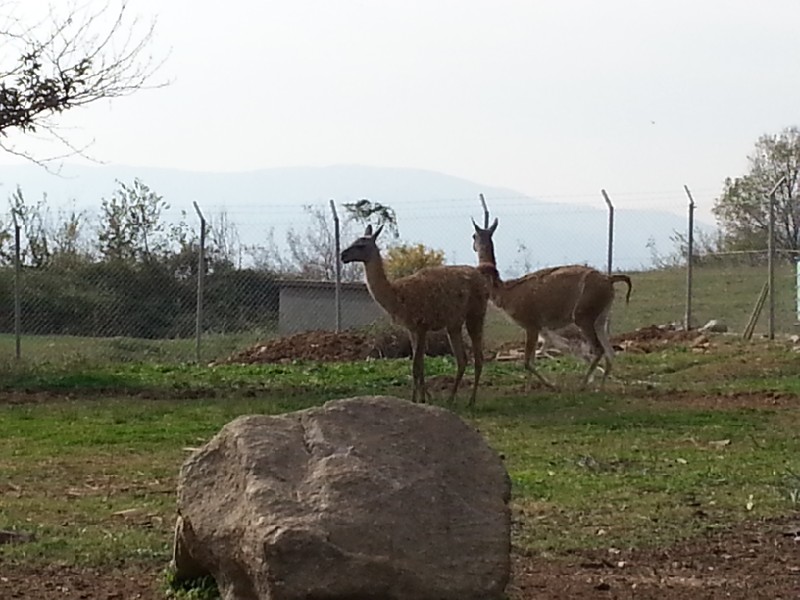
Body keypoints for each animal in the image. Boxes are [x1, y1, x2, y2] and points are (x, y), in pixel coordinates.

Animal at [341, 224, 490, 406]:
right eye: (354, 241)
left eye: (361, 245)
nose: (343, 255)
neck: (397, 296)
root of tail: (482, 280)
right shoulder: (412, 329)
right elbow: (419, 365)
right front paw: (422, 398)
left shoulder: (421, 325)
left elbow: (416, 366)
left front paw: (416, 399)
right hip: (453, 324)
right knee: (462, 359)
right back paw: (450, 399)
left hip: (476, 314)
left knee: (478, 358)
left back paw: (471, 401)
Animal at [471, 217, 632, 390]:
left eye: (473, 236)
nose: (473, 246)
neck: (505, 292)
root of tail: (609, 279)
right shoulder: (538, 329)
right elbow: (532, 360)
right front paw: (528, 388)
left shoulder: (532, 325)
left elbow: (527, 362)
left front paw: (550, 385)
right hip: (600, 318)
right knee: (610, 352)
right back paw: (600, 388)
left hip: (584, 316)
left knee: (599, 349)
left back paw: (582, 385)